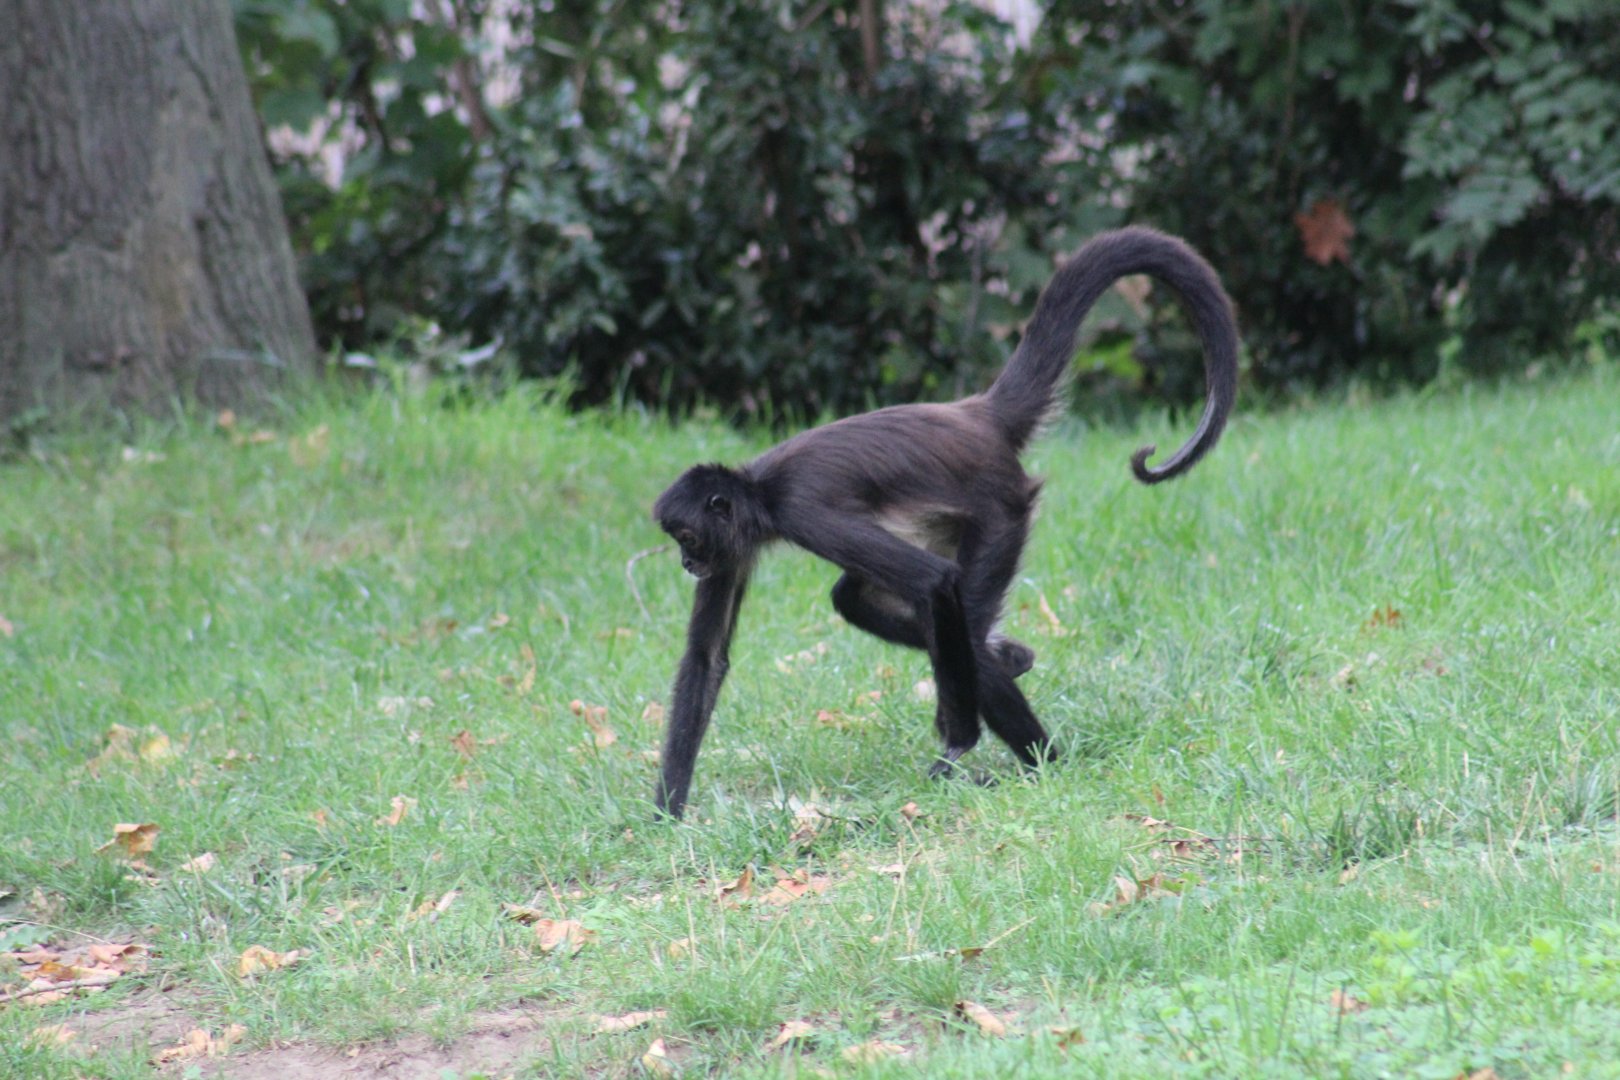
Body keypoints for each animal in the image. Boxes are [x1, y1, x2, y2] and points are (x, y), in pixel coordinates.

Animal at [650, 226, 1239, 819]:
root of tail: (979, 415)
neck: (760, 491)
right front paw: (667, 816)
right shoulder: (733, 549)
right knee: (861, 600)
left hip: (1001, 510)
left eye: (686, 537)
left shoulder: (801, 511)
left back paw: (1041, 759)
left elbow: (932, 580)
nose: (687, 562)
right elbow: (706, 659)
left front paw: (961, 741)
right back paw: (1013, 659)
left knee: (958, 627)